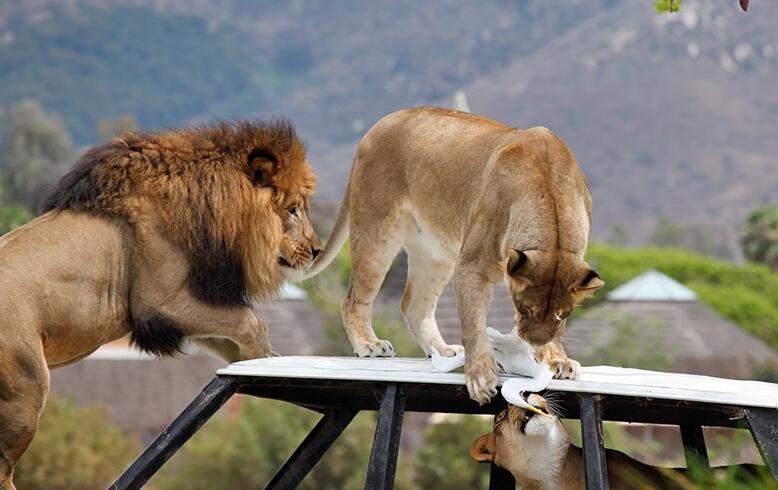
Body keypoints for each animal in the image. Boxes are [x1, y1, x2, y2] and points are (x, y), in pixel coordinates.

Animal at [0, 119, 318, 490]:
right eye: (293, 208)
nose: (317, 250)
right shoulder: (161, 303)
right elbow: (251, 321)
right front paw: (261, 361)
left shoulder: (186, 312)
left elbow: (234, 338)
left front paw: (266, 365)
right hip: (27, 389)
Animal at [294, 109, 604, 404]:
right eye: (525, 308)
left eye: (562, 314)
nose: (533, 342)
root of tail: (376, 127)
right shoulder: (471, 265)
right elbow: (474, 325)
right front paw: (479, 376)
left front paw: (557, 359)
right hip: (376, 232)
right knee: (353, 300)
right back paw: (369, 345)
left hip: (435, 254)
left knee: (413, 305)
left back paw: (442, 352)